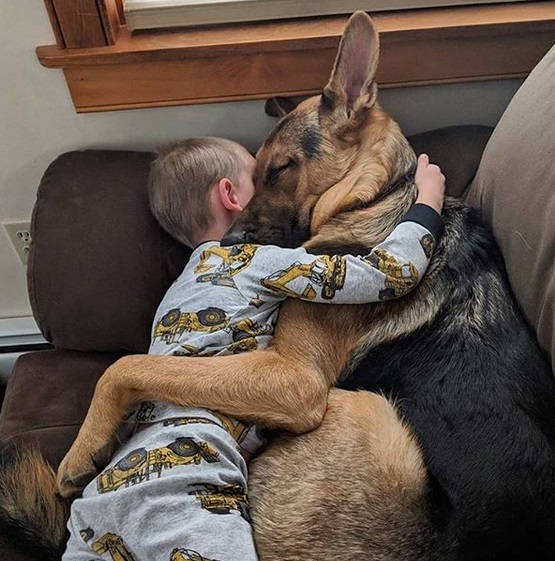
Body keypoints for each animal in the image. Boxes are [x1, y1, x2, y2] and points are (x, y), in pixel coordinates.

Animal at [3, 9, 555, 560]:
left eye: (281, 168)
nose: (227, 242)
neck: (378, 195)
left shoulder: (297, 378)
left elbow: (125, 365)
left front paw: (82, 448)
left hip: (363, 408)